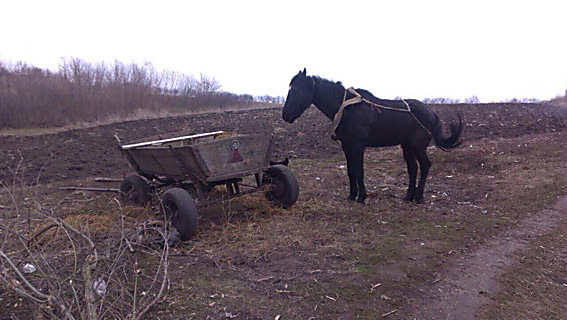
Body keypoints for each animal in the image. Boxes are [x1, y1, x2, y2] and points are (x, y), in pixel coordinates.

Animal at [282, 69, 464, 204]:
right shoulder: (346, 145)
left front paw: (362, 197)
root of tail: (432, 113)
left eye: (297, 90)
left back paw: (418, 197)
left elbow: (359, 171)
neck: (348, 109)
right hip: (407, 146)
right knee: (413, 168)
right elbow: (350, 170)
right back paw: (408, 196)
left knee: (425, 166)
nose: (285, 115)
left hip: (417, 146)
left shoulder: (358, 145)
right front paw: (352, 195)